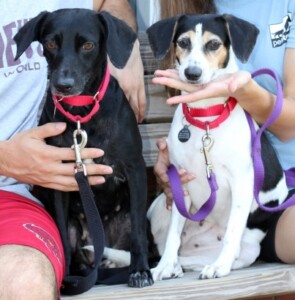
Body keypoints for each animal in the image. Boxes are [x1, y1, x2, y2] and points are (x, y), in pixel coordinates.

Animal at [13, 8, 153, 288]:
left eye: (88, 45)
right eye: (50, 43)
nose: (63, 85)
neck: (81, 114)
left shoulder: (135, 170)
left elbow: (138, 236)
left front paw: (140, 270)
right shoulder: (58, 178)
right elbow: (63, 241)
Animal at [147, 13, 288, 282]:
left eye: (213, 44)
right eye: (183, 42)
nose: (192, 73)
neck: (206, 119)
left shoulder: (242, 183)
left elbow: (232, 233)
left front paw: (220, 266)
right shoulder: (180, 184)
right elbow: (172, 237)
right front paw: (165, 265)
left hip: (250, 250)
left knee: (220, 254)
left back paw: (213, 263)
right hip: (159, 205)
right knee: (176, 250)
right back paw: (175, 265)